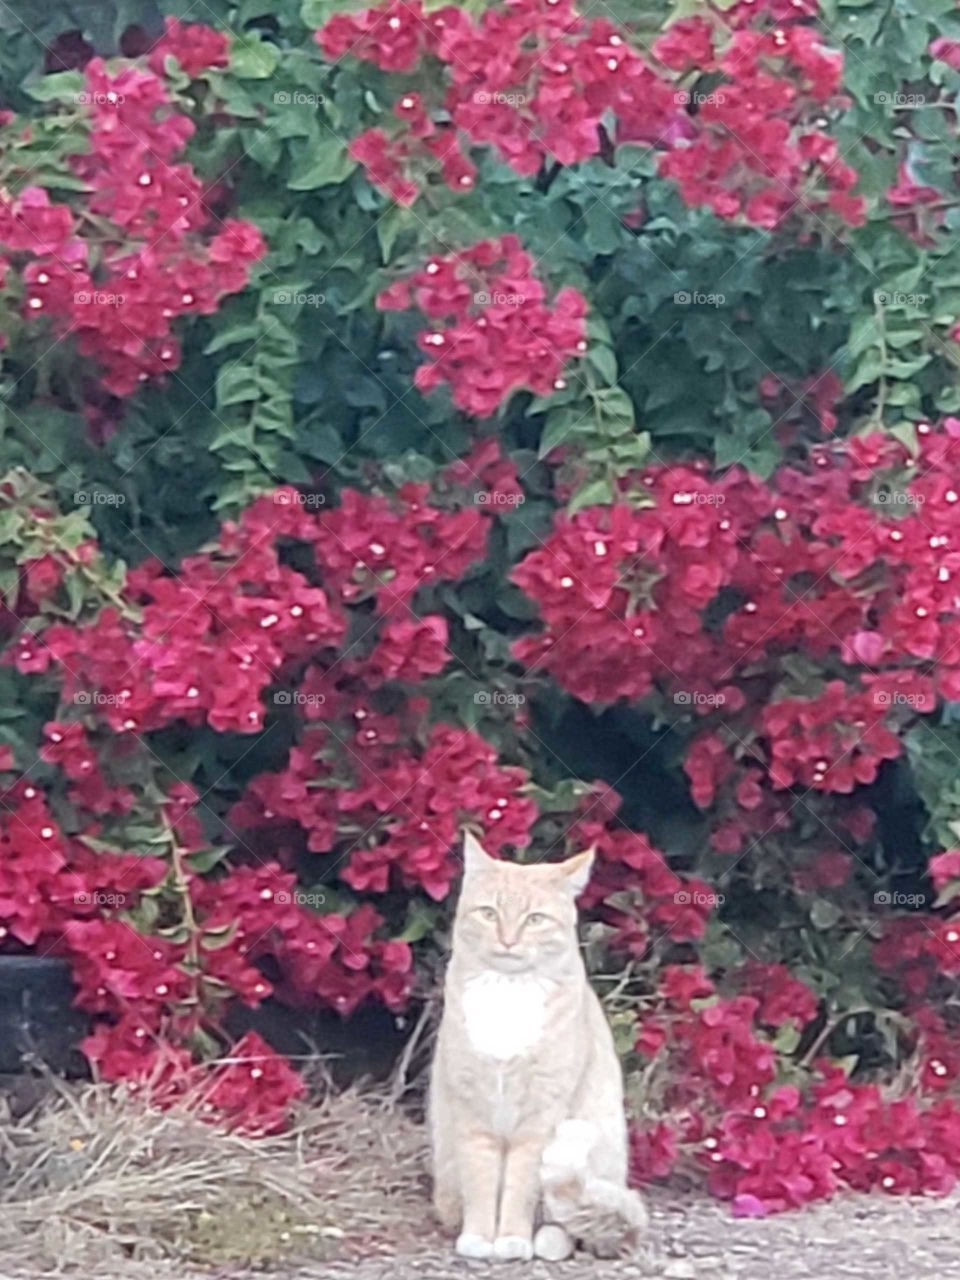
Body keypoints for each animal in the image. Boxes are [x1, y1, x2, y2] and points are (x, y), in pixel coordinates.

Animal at [427, 829, 647, 1259]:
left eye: (535, 920)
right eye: (489, 914)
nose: (508, 940)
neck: (509, 993)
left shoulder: (540, 1117)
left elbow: (521, 1187)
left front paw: (512, 1238)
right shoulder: (472, 1113)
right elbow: (481, 1182)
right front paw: (479, 1237)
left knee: (574, 1220)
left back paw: (547, 1240)